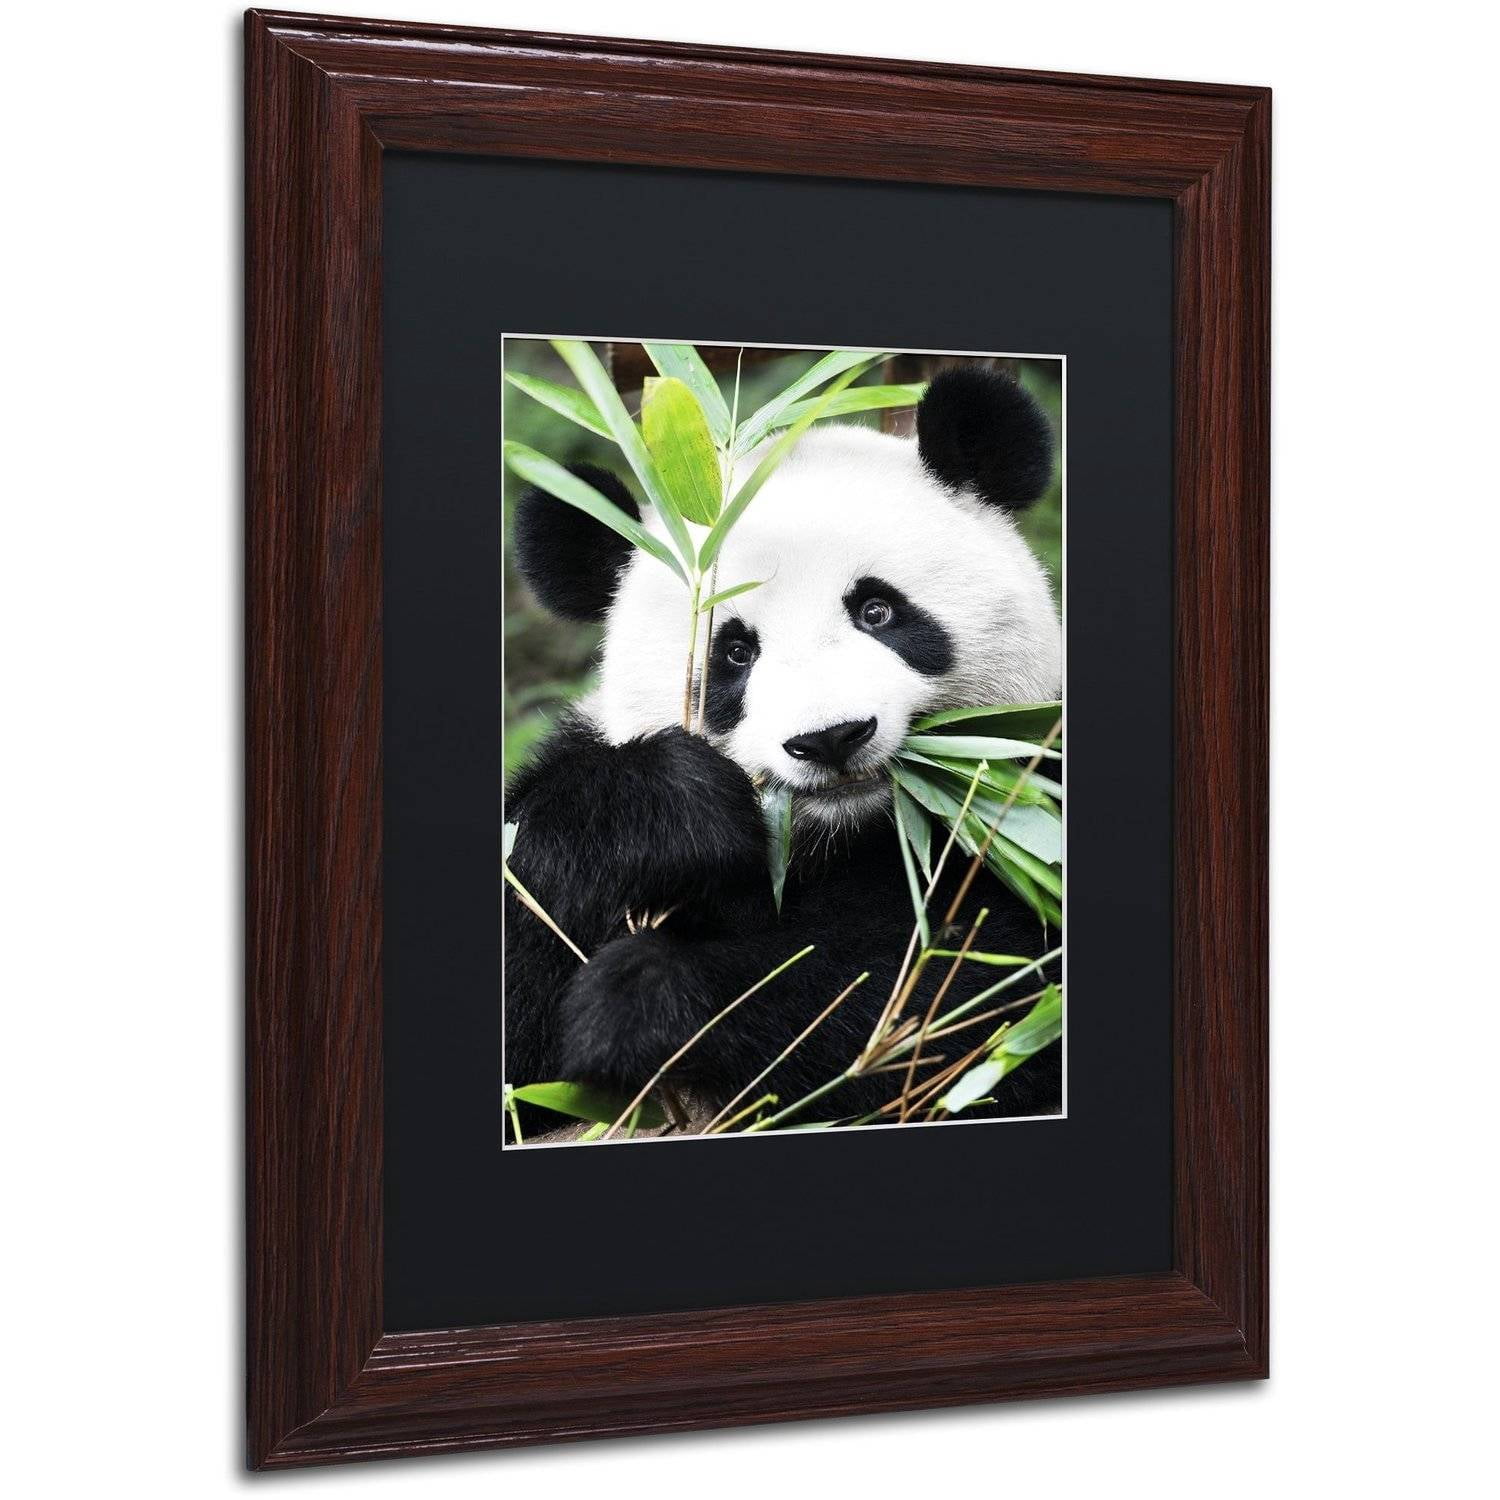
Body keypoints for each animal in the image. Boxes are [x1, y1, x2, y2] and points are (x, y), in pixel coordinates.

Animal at [504, 366, 1062, 1134]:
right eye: (735, 653)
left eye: (877, 611)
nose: (830, 736)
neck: (839, 838)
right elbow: (525, 984)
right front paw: (671, 810)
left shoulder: (1027, 807)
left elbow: (961, 991)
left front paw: (643, 998)